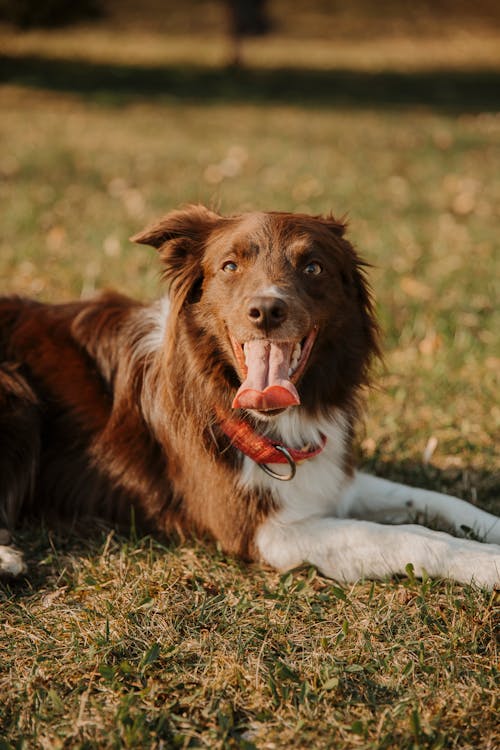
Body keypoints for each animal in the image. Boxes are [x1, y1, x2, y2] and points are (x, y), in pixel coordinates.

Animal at [0, 206, 500, 588]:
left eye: (313, 267)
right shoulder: (262, 531)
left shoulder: (328, 478)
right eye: (229, 266)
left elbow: (432, 499)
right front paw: (485, 563)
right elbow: (408, 536)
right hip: (15, 392)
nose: (266, 310)